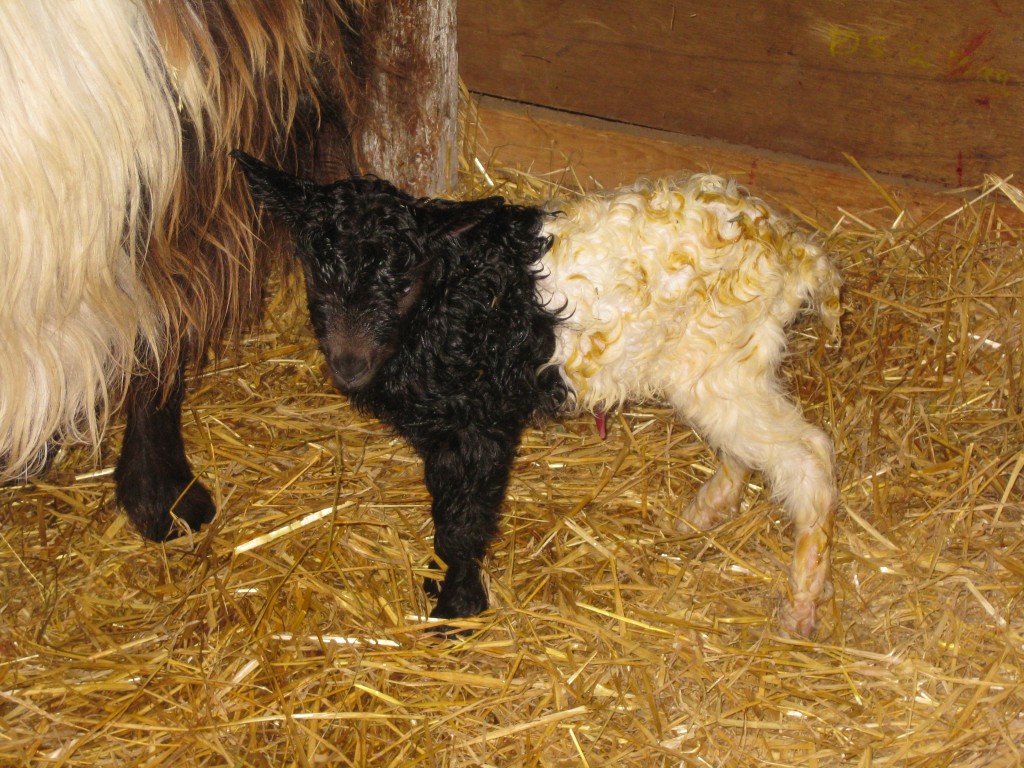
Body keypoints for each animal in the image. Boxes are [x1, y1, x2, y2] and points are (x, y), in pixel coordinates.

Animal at [235, 153, 843, 638]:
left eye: (404, 279)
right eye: (317, 272)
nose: (349, 366)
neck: (446, 301)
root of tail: (795, 251)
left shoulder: (482, 421)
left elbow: (463, 521)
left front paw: (456, 611)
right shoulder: (444, 432)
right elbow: (445, 509)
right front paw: (441, 587)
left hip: (722, 359)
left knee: (807, 454)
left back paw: (799, 609)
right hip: (721, 365)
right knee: (748, 445)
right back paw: (703, 514)